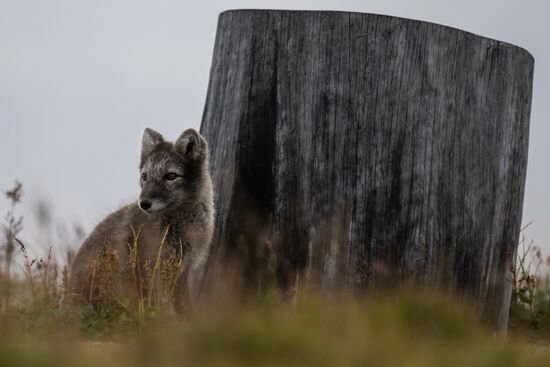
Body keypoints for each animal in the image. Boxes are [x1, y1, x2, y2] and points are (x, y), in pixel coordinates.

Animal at [69, 128, 216, 312]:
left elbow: (184, 308)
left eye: (171, 176)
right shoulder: (148, 270)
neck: (177, 226)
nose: (144, 203)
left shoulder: (183, 271)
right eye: (145, 176)